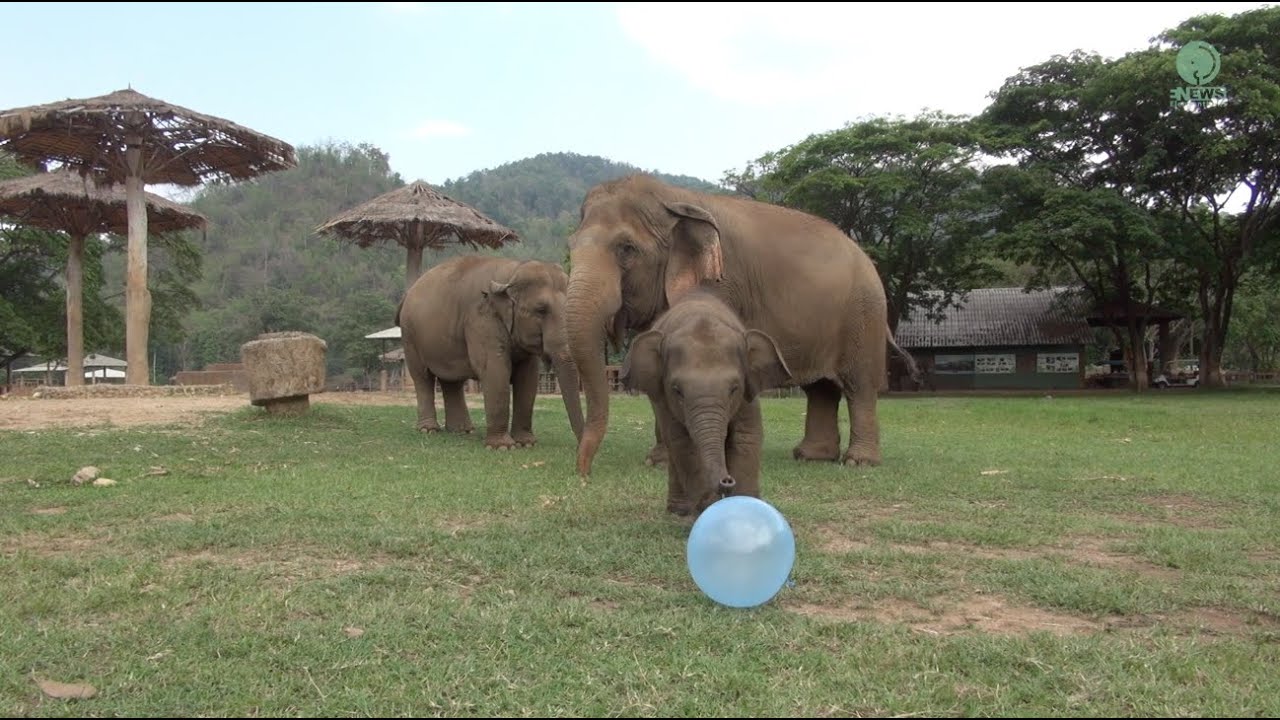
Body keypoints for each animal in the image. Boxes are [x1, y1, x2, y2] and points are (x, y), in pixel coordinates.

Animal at [396, 255, 585, 450]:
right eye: (541, 310)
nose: (579, 448)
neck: (512, 270)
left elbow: (527, 377)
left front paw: (526, 443)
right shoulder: (481, 319)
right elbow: (495, 370)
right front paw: (503, 447)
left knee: (452, 381)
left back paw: (462, 431)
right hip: (410, 335)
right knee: (422, 377)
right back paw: (428, 430)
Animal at [565, 173, 902, 476]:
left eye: (626, 248)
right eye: (570, 245)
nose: (584, 474)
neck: (672, 198)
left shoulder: (721, 283)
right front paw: (660, 462)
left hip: (864, 315)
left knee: (859, 384)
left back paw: (858, 462)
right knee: (820, 389)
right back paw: (811, 457)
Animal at [620, 289, 791, 517]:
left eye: (734, 389)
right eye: (677, 390)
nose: (727, 481)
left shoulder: (748, 394)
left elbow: (745, 436)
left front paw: (745, 503)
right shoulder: (664, 400)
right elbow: (682, 442)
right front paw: (708, 506)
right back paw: (678, 510)